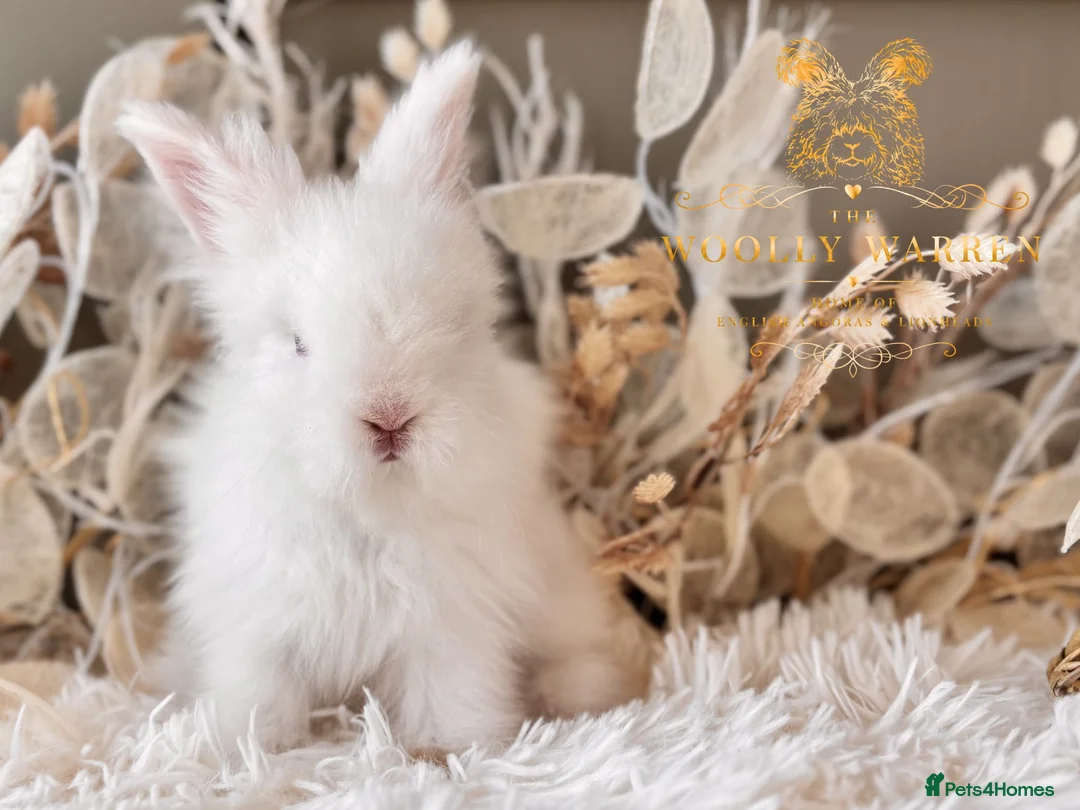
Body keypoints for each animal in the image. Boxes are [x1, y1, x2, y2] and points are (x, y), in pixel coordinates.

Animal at [116, 41, 649, 754]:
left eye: (449, 321)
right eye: (298, 343)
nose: (390, 419)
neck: (369, 509)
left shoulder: (451, 627)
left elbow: (451, 700)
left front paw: (453, 752)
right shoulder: (257, 629)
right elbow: (259, 700)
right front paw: (247, 750)